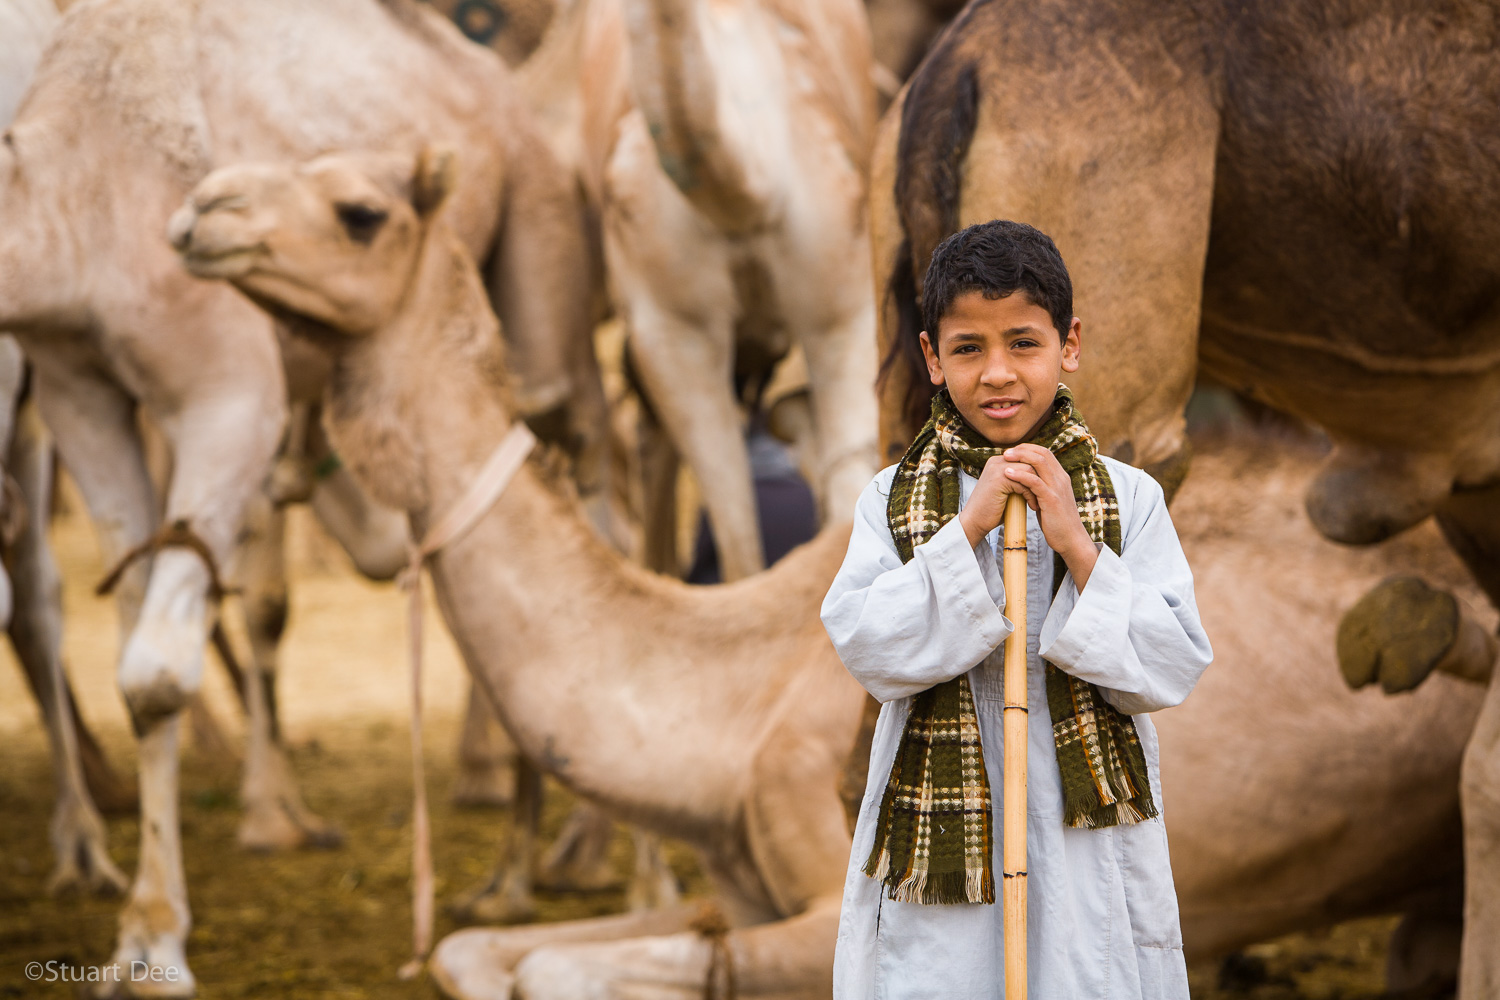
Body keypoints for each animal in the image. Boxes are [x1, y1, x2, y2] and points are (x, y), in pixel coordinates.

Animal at [0, 1, 597, 995]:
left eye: (357, 211)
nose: (204, 212)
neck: (69, 187)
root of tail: (492, 81)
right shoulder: (76, 384)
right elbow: (134, 646)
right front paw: (138, 936)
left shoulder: (228, 391)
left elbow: (157, 673)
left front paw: (160, 941)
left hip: (545, 268)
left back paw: (545, 865)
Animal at [175, 148, 1488, 1000]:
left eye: (357, 211)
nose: (200, 208)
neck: (727, 700)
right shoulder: (741, 885)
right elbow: (477, 954)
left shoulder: (807, 905)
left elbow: (553, 967)